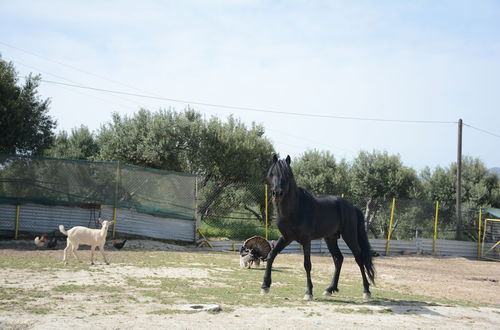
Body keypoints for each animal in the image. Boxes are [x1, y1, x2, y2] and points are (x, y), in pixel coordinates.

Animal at [262, 155, 376, 300]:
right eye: (272, 174)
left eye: (287, 174)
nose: (277, 193)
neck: (296, 208)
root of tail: (352, 206)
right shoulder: (286, 238)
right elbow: (271, 255)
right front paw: (265, 286)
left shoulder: (306, 240)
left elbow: (307, 264)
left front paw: (308, 293)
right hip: (330, 238)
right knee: (339, 259)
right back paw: (330, 289)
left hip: (349, 236)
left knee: (359, 258)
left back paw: (366, 291)